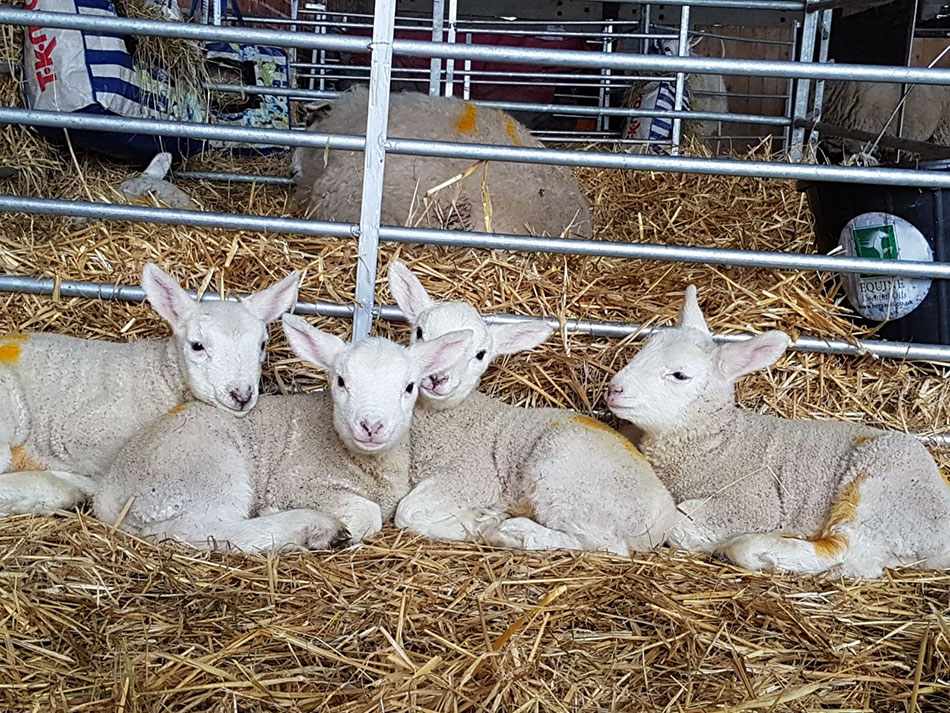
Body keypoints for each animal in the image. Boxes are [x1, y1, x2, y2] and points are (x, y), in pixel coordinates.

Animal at [93, 315, 473, 552]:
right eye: (341, 382)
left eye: (409, 387)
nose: (371, 426)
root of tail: (108, 494)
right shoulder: (298, 482)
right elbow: (369, 515)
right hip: (208, 473)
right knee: (197, 533)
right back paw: (313, 529)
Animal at [388, 261, 677, 556]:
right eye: (420, 332)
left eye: (481, 354)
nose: (437, 377)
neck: (453, 416)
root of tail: (662, 521)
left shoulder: (472, 479)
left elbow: (406, 513)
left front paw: (476, 522)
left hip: (566, 481)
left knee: (600, 544)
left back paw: (513, 532)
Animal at [606, 285, 950, 578]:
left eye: (680, 375)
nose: (613, 389)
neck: (717, 442)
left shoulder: (753, 502)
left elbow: (676, 525)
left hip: (880, 488)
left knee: (843, 550)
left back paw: (760, 549)